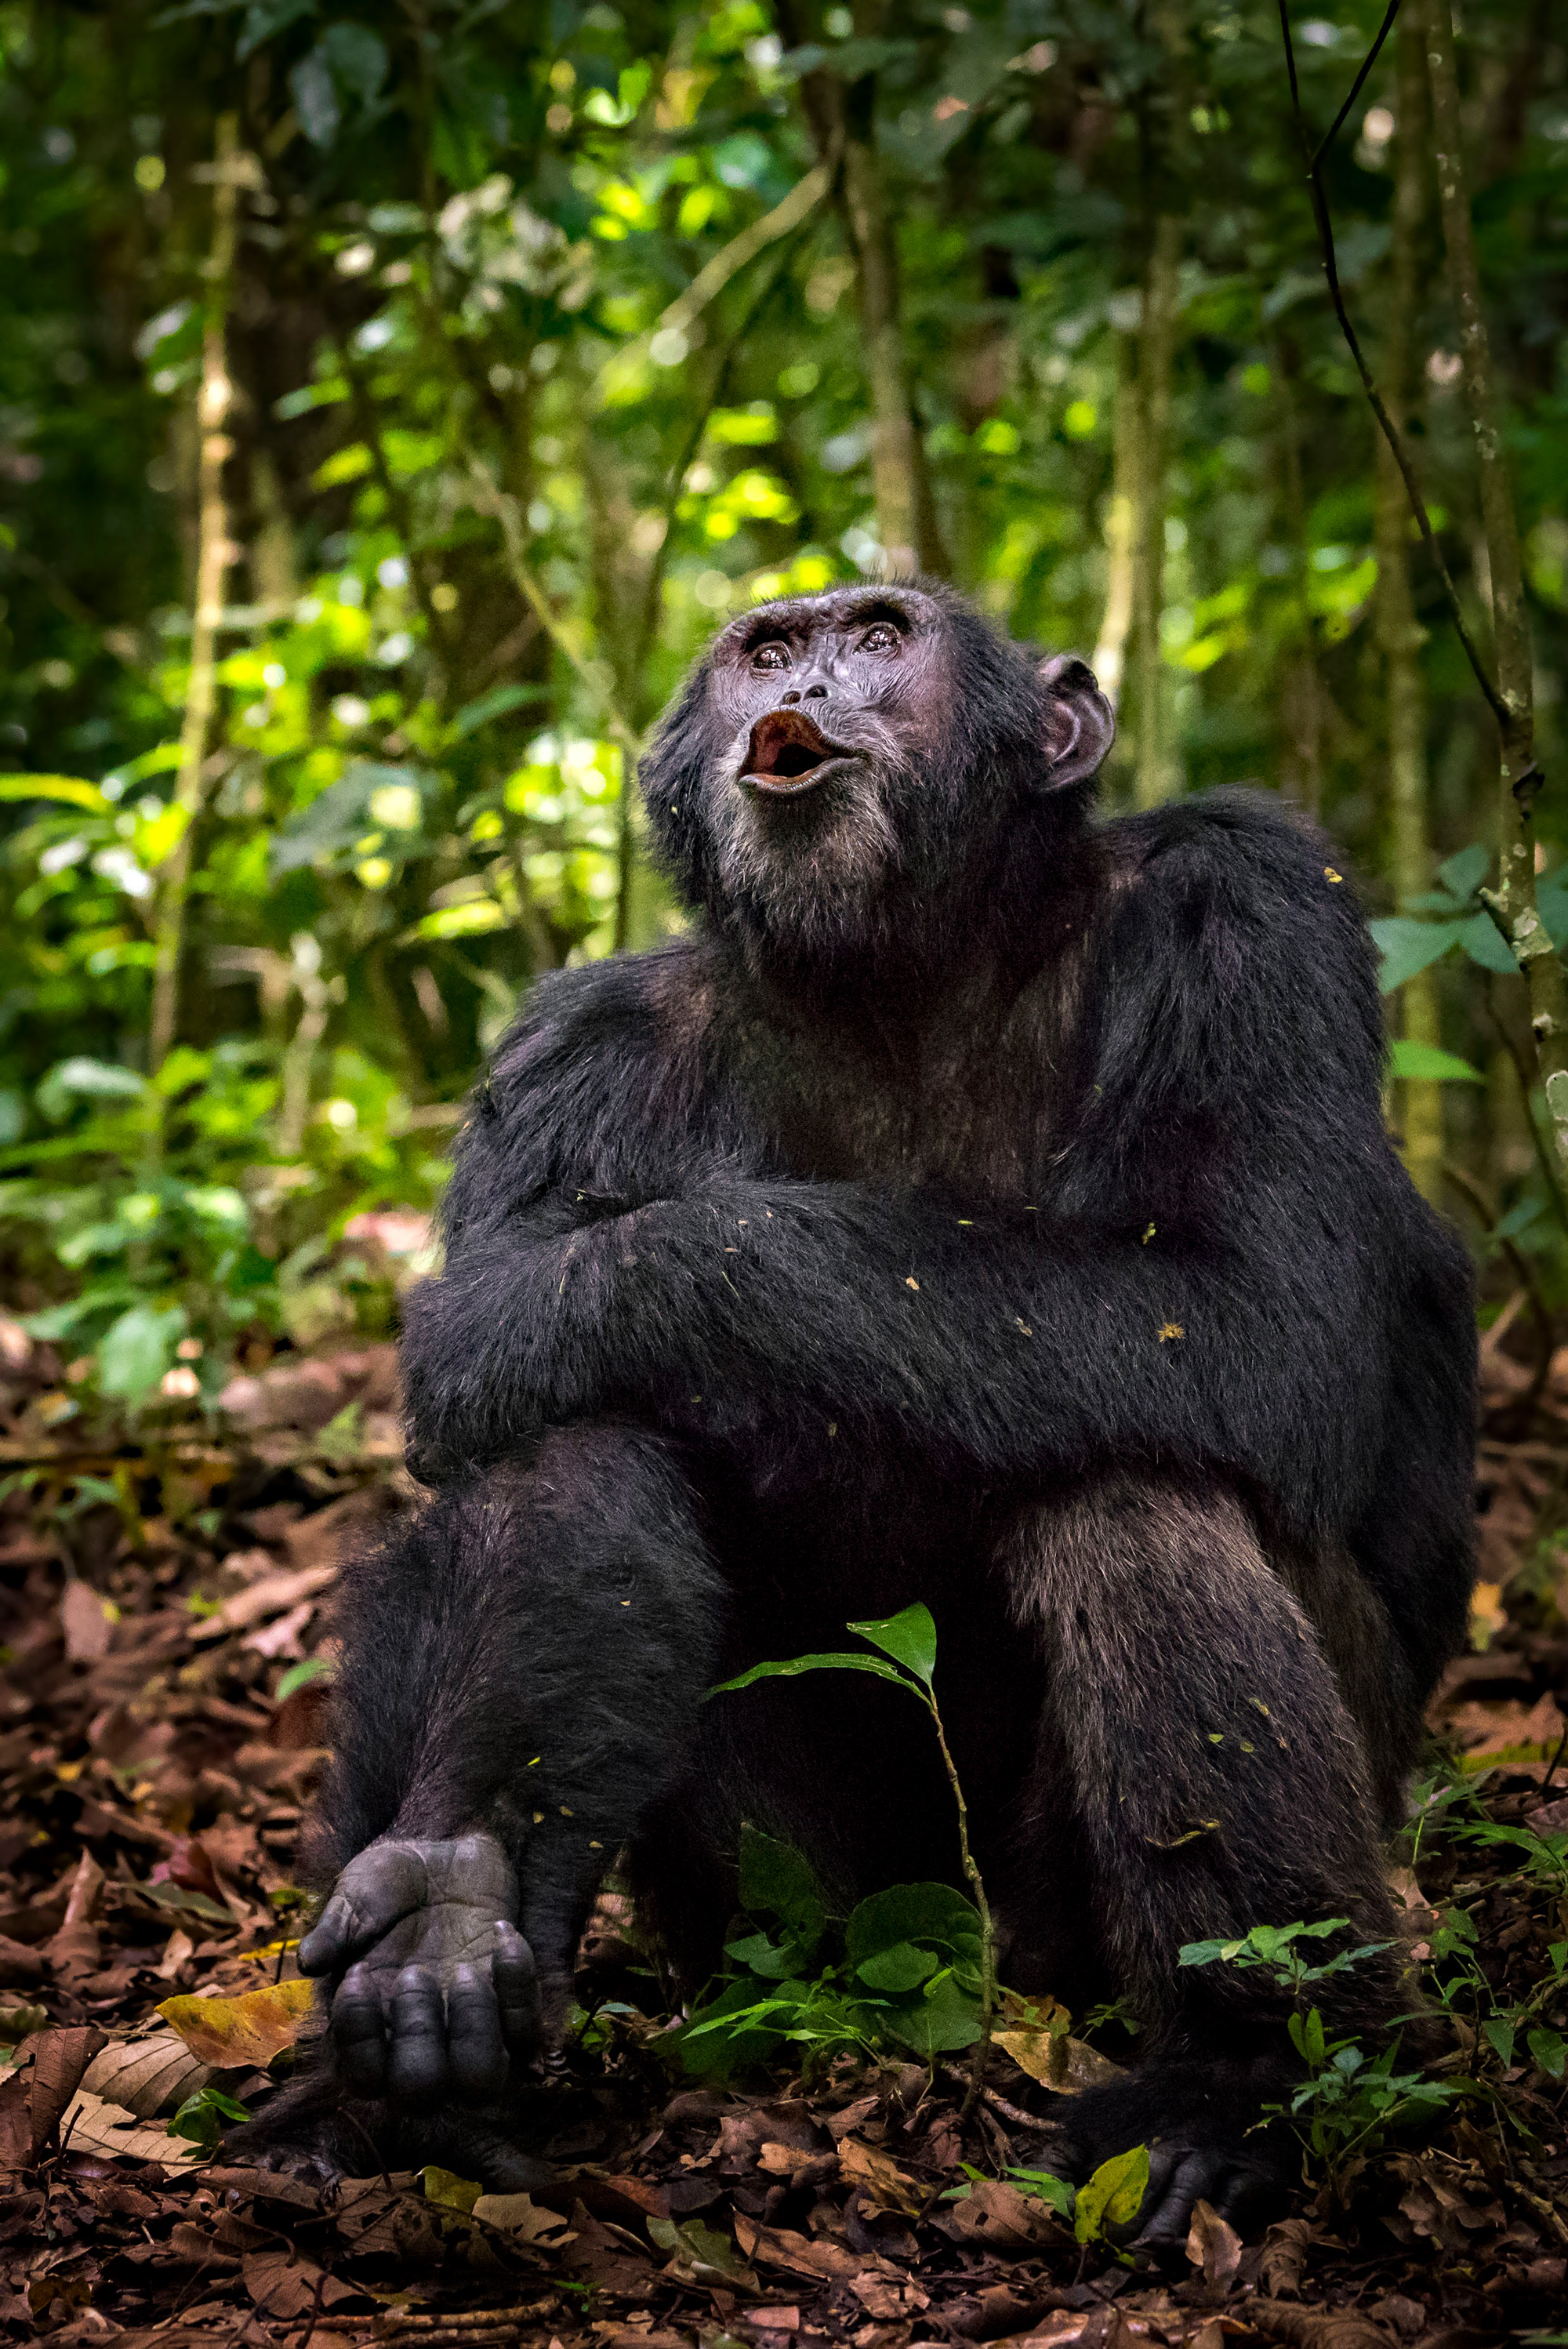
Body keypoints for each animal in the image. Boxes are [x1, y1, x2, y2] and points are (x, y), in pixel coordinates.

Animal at [239, 583, 1474, 2236]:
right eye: (766, 649)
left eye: (882, 636)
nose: (812, 681)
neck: (905, 973)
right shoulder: (573, 1052)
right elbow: (514, 1445)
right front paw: (439, 1898)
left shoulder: (1248, 911)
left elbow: (1254, 1309)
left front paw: (579, 1287)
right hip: (820, 1924)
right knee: (587, 1456)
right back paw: (439, 1951)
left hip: (1062, 1924)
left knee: (1136, 1493)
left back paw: (1237, 2088)